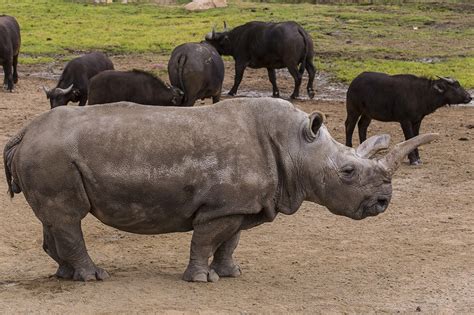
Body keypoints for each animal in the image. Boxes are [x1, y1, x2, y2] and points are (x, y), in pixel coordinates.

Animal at [2, 98, 436, 284]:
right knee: (68, 217)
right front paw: (200, 280)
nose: (383, 202)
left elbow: (231, 240)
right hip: (52, 155)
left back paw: (66, 274)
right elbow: (206, 239)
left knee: (56, 218)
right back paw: (94, 278)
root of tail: (23, 132)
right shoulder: (221, 206)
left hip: (49, 156)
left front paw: (230, 273)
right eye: (347, 172)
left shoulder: (244, 203)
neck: (297, 147)